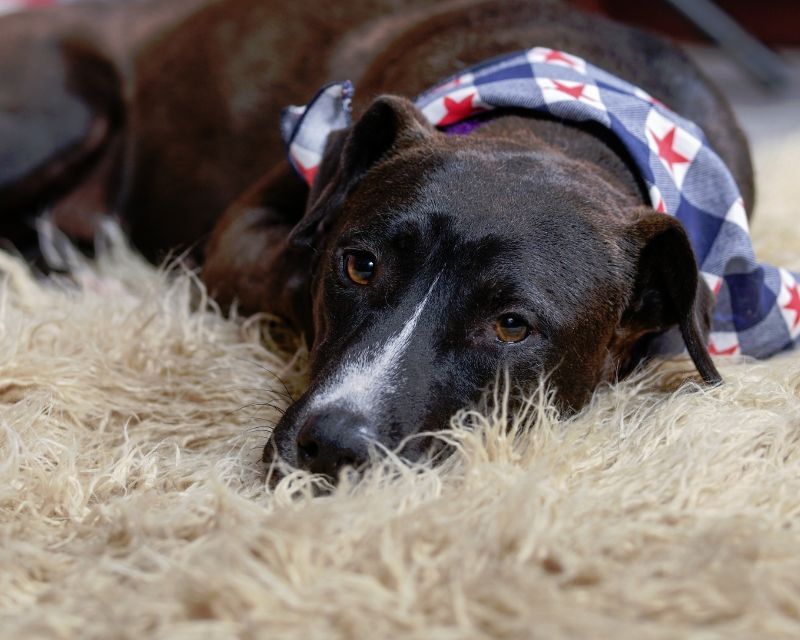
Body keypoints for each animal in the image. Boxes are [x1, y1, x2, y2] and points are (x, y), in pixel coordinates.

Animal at [1, 0, 756, 480]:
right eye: (360, 266)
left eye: (512, 325)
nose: (332, 447)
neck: (552, 123)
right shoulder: (240, 237)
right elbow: (296, 274)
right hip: (69, 101)